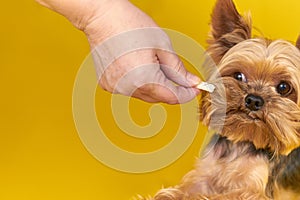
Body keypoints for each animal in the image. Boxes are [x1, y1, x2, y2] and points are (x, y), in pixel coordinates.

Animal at [142, 0, 300, 199]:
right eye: (238, 76)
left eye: (283, 87)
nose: (254, 100)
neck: (241, 143)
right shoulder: (203, 175)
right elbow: (182, 190)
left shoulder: (255, 190)